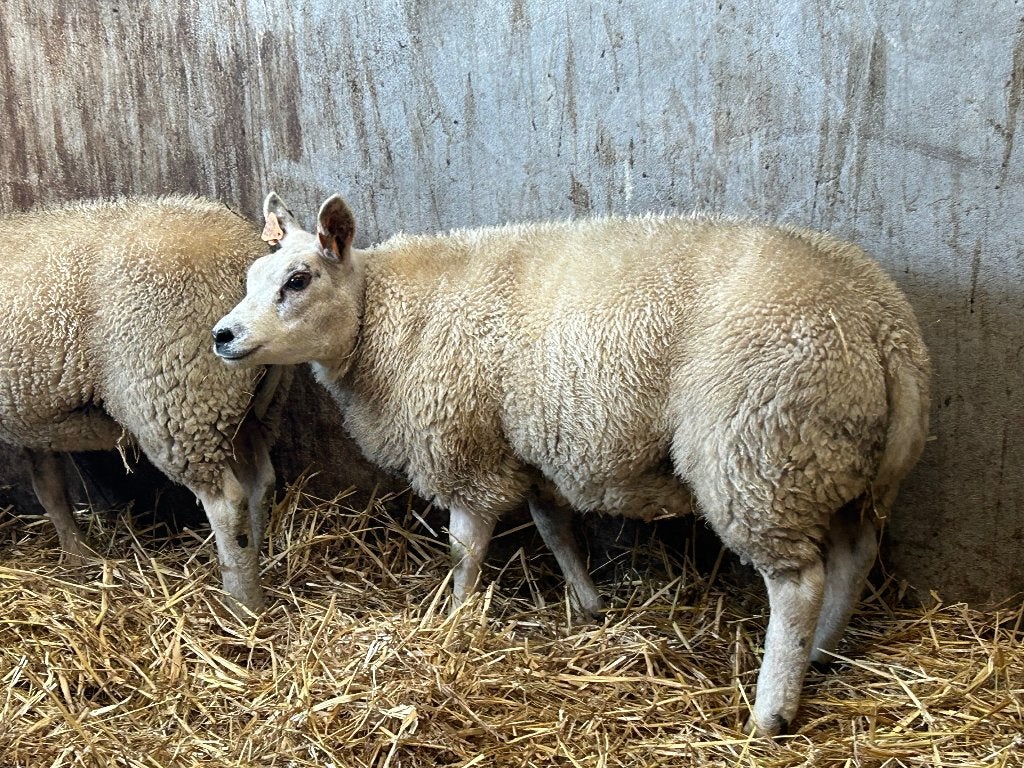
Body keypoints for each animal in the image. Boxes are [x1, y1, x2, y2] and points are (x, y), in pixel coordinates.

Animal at [0, 195, 290, 615]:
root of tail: (242, 255)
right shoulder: (34, 419)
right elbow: (50, 489)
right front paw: (77, 559)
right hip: (247, 405)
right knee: (259, 484)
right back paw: (256, 572)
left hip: (178, 398)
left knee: (226, 505)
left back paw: (239, 605)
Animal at [212, 191, 930, 735]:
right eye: (250, 280)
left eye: (298, 280)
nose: (221, 336)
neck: (378, 317)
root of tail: (885, 326)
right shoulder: (531, 451)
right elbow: (556, 530)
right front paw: (587, 605)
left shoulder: (466, 450)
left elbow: (465, 549)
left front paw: (454, 623)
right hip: (840, 465)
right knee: (854, 559)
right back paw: (825, 654)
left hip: (758, 453)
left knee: (798, 585)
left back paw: (772, 710)